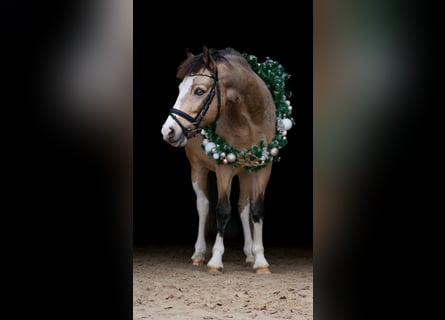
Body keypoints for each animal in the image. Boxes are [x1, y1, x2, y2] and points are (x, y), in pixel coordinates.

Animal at [160, 46, 292, 274]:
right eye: (179, 88)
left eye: (199, 91)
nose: (168, 130)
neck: (250, 120)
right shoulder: (224, 169)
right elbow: (222, 210)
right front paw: (215, 260)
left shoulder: (263, 168)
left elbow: (256, 210)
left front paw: (260, 260)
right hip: (198, 168)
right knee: (203, 205)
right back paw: (199, 254)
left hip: (246, 172)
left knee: (243, 207)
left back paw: (249, 254)